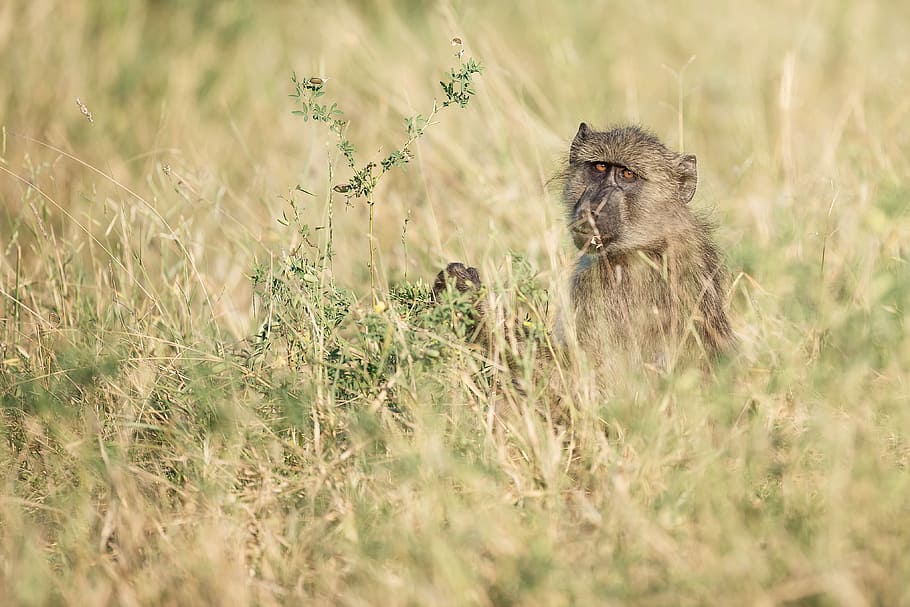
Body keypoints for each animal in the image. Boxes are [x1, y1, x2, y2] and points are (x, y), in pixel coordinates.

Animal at [434, 123, 734, 375]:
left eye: (627, 174)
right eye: (599, 167)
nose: (592, 208)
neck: (651, 239)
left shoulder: (606, 286)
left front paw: (466, 294)